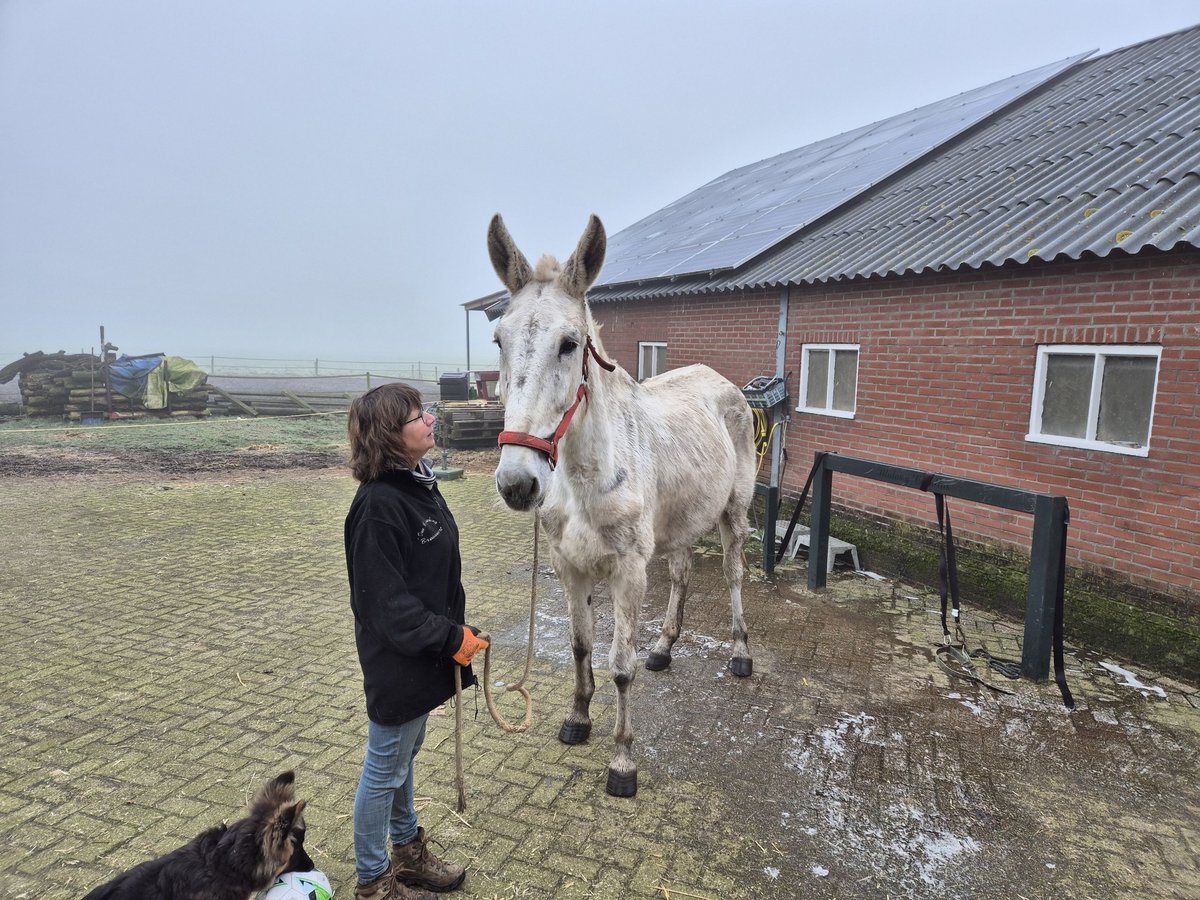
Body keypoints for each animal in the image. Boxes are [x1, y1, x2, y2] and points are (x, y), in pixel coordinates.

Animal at [484, 217, 748, 796]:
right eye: (498, 340)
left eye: (570, 343)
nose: (518, 483)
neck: (587, 476)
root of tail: (724, 383)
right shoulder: (569, 566)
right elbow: (582, 647)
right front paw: (578, 718)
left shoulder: (628, 572)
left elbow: (620, 663)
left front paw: (623, 760)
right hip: (681, 523)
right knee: (682, 574)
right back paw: (665, 649)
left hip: (733, 515)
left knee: (735, 576)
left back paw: (742, 653)